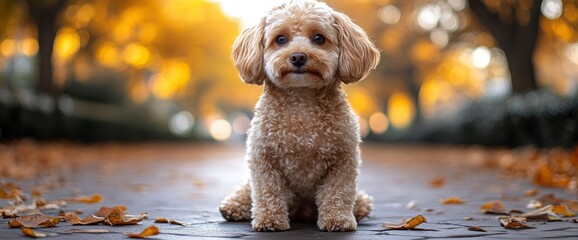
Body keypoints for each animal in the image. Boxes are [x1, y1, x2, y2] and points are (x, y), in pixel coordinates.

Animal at [216, 0, 378, 232]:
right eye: (280, 39)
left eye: (319, 38)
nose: (299, 57)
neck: (302, 99)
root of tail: (302, 210)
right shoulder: (263, 159)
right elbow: (267, 192)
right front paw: (269, 220)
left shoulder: (343, 160)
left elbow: (338, 192)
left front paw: (338, 220)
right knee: (247, 192)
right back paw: (232, 207)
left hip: (360, 197)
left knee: (359, 202)